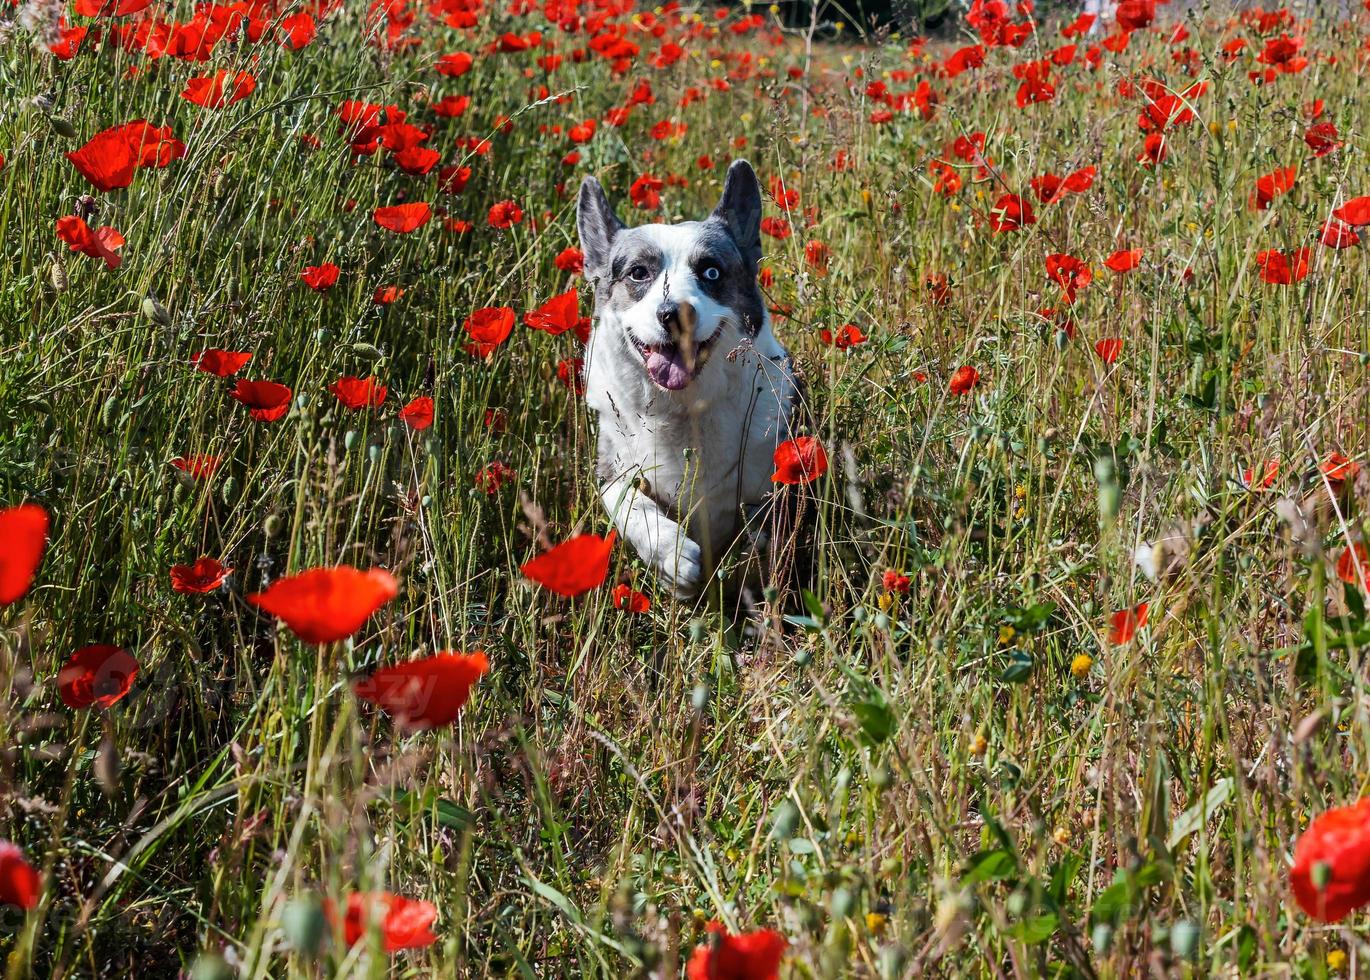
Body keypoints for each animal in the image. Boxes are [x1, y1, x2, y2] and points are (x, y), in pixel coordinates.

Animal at [578, 160, 800, 597]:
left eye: (711, 271)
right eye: (638, 273)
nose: (673, 313)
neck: (684, 407)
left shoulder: (773, 483)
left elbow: (759, 537)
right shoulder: (611, 468)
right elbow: (630, 505)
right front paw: (673, 556)